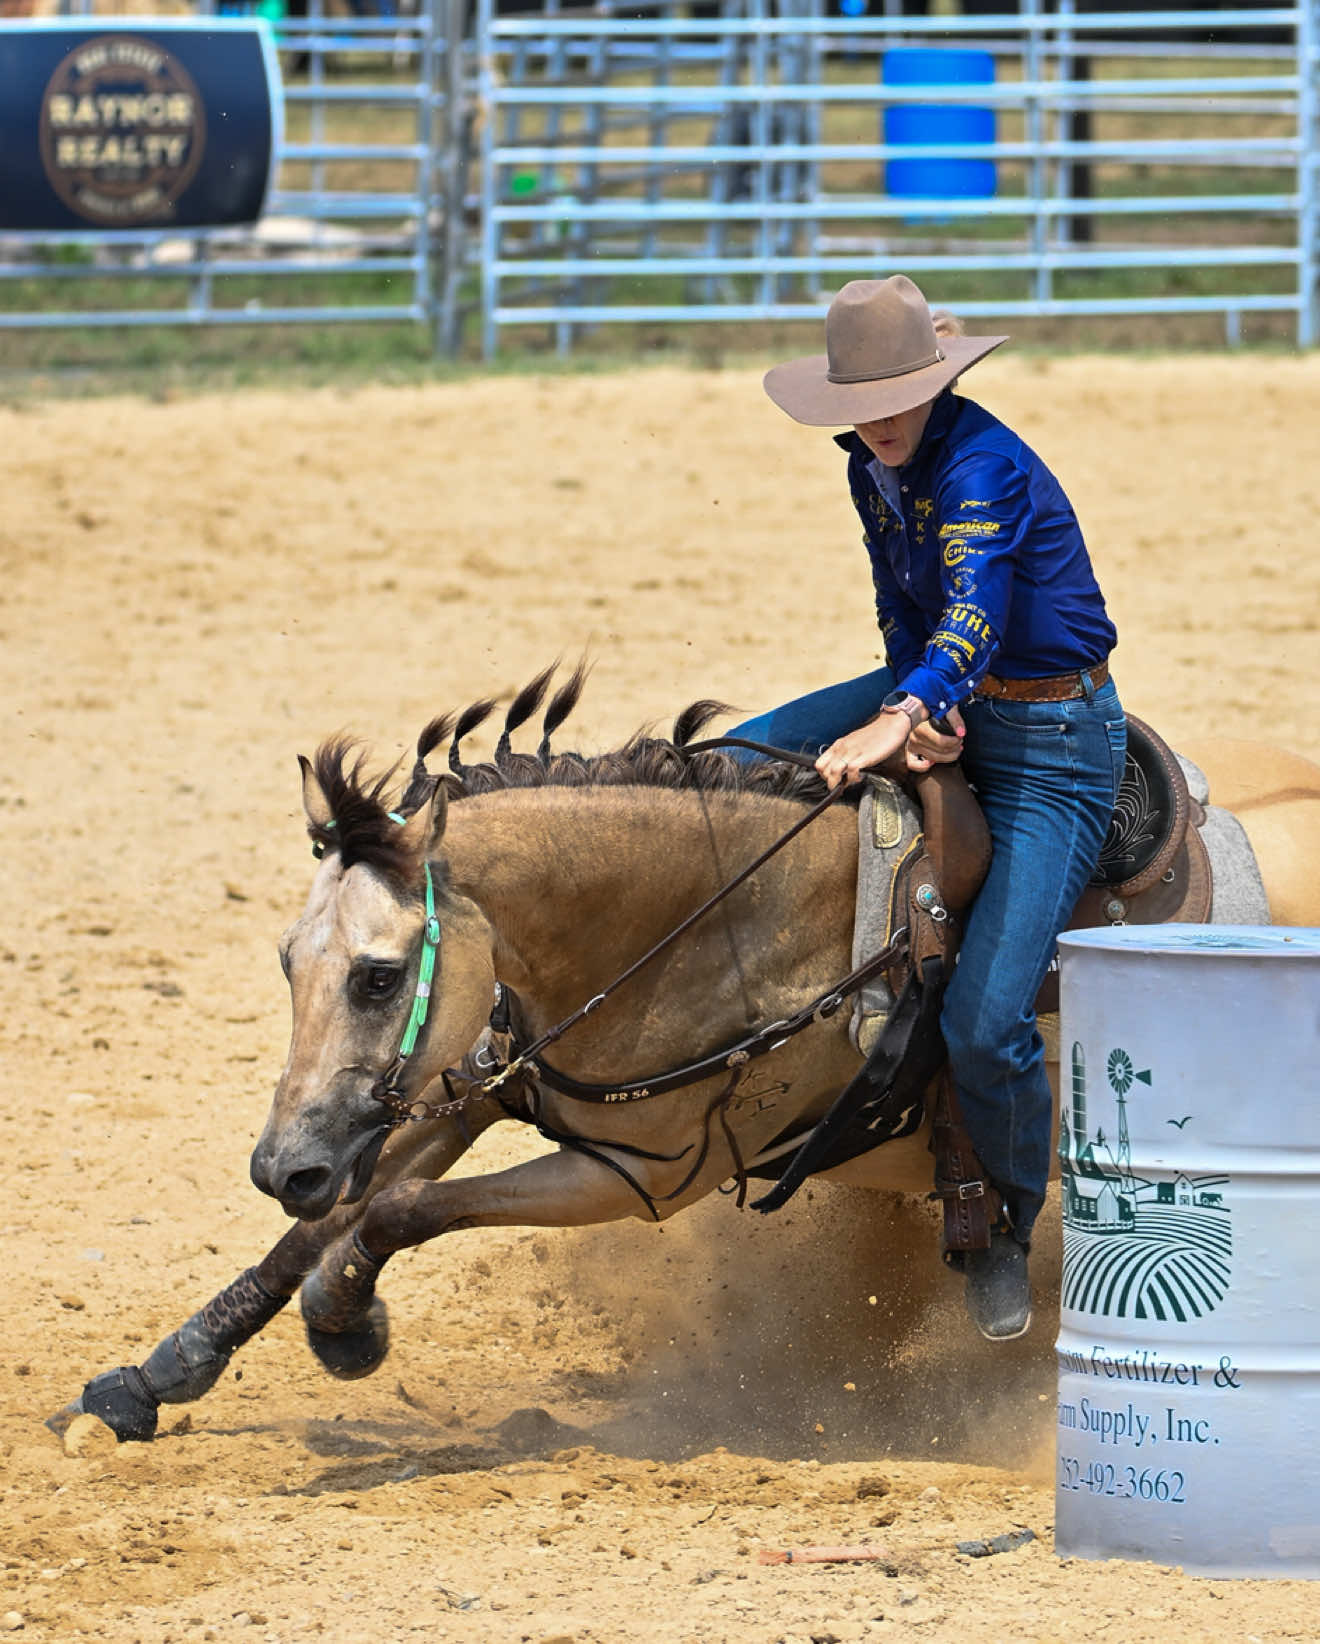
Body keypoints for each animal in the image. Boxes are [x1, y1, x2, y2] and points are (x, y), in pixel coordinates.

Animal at [58, 666, 1320, 1442]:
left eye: (376, 975)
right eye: (286, 962)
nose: (284, 1164)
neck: (716, 918)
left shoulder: (642, 1173)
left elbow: (400, 1211)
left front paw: (346, 1324)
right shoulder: (483, 1078)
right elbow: (320, 1228)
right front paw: (151, 1379)